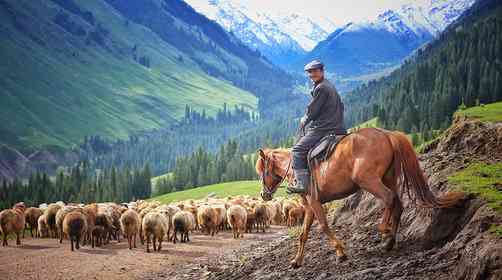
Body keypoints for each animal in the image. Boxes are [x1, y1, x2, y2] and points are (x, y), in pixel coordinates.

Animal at [256, 127, 464, 266]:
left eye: (261, 172)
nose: (264, 195)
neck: (294, 167)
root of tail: (386, 134)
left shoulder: (314, 203)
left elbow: (323, 226)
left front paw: (340, 252)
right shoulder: (309, 207)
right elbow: (303, 234)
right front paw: (296, 261)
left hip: (369, 181)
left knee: (389, 198)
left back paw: (385, 232)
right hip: (389, 178)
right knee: (398, 204)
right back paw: (390, 240)